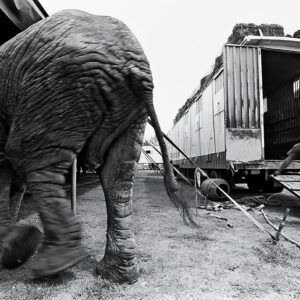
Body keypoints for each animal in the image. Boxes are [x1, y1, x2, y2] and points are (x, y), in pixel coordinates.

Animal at [0, 8, 195, 282]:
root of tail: (132, 63)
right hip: (122, 106)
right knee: (118, 175)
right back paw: (116, 274)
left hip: (61, 85)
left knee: (23, 153)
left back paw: (52, 262)